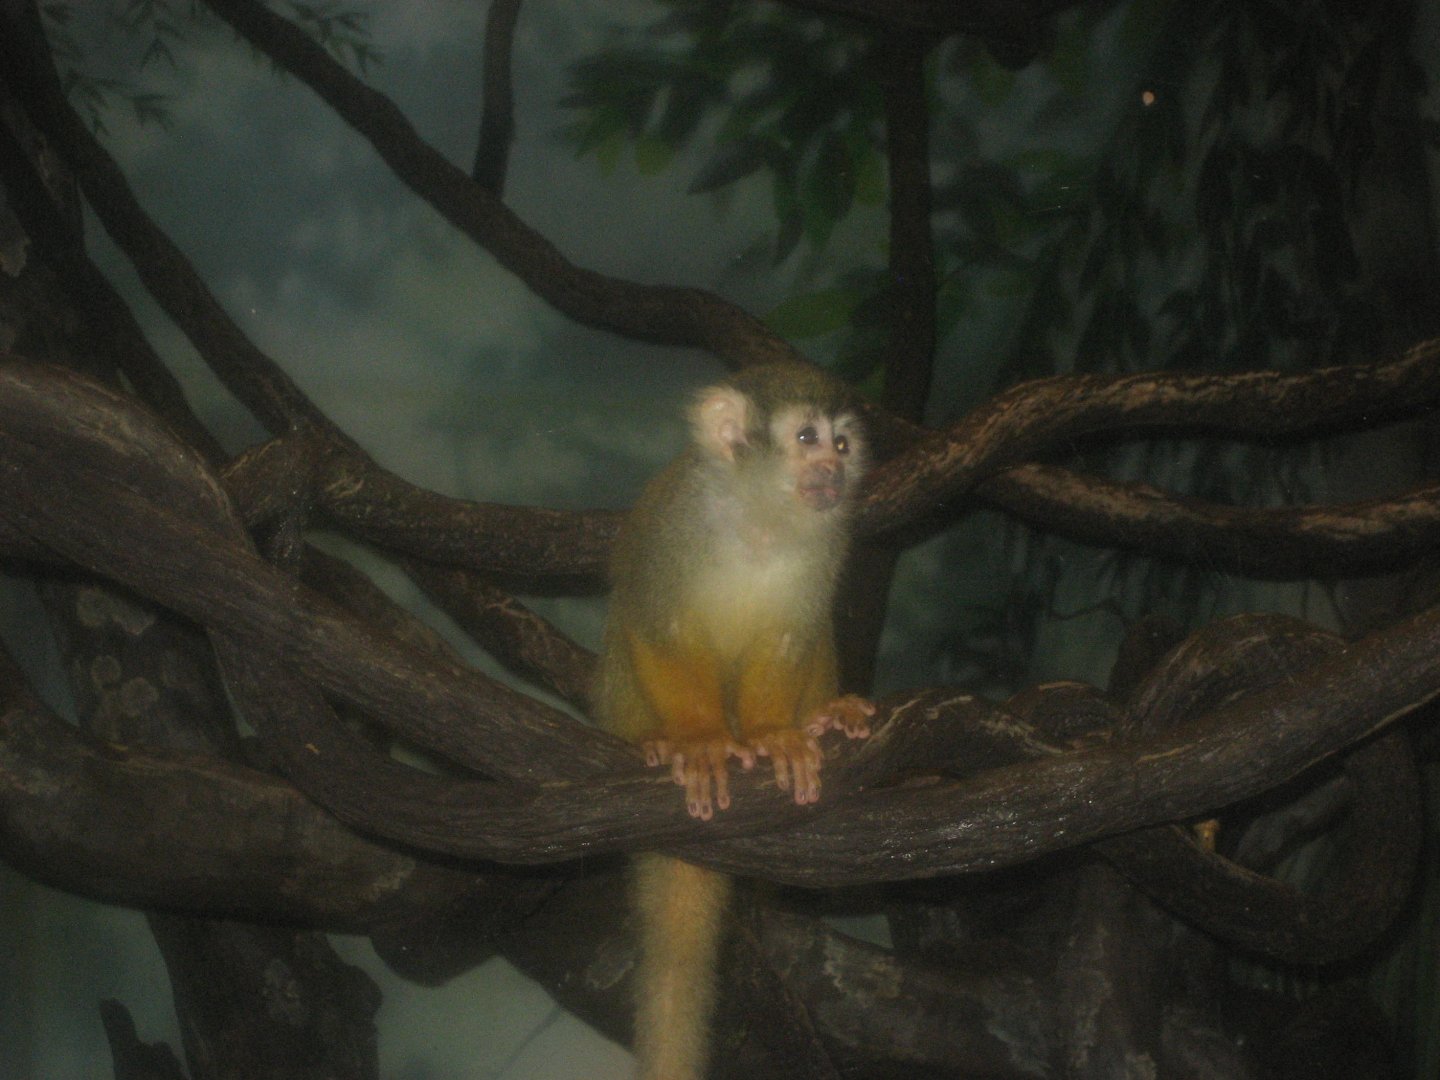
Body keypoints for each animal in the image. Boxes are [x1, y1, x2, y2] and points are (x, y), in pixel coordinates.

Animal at [594, 362, 874, 1080]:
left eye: (842, 445)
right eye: (806, 438)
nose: (832, 471)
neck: (762, 518)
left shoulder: (831, 541)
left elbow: (791, 637)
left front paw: (777, 736)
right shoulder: (677, 518)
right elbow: (655, 621)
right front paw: (697, 741)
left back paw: (825, 718)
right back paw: (660, 742)